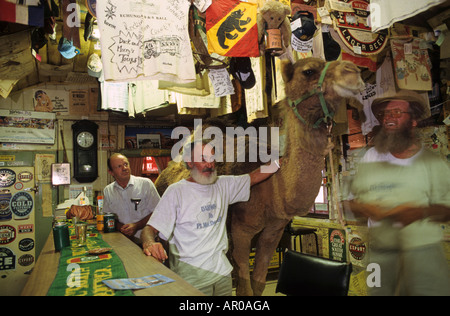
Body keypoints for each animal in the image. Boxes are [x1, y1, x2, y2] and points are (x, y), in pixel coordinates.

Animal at [153, 57, 364, 296]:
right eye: (308, 71)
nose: (353, 71)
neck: (273, 190)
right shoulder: (241, 230)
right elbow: (245, 286)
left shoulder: (274, 230)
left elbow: (258, 282)